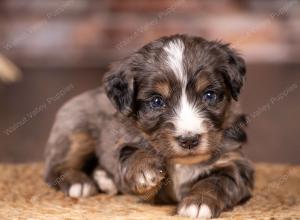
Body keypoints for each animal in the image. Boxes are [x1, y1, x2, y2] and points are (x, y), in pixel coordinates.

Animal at [44, 34, 254, 218]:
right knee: (54, 168)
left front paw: (199, 202)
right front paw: (144, 170)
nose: (189, 140)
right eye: (156, 101)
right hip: (76, 131)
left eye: (209, 95)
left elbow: (218, 181)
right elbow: (131, 153)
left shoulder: (233, 161)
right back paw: (79, 183)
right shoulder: (125, 141)